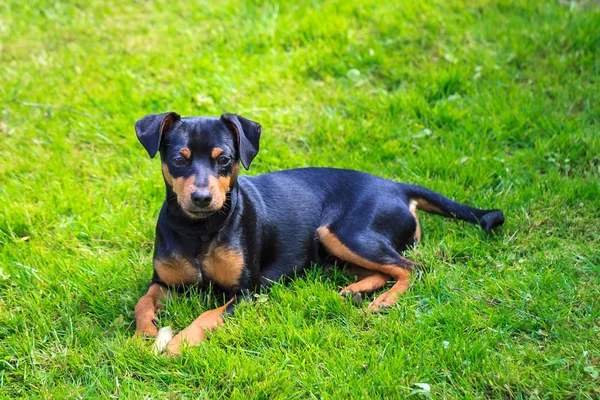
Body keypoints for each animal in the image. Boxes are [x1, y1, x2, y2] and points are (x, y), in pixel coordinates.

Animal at [134, 111, 504, 354]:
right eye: (179, 159)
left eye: (223, 159)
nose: (201, 198)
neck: (199, 229)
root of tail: (397, 187)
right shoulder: (164, 282)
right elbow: (143, 301)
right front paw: (143, 333)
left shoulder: (247, 292)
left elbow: (208, 315)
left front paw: (179, 342)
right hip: (331, 249)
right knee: (385, 270)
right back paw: (355, 292)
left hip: (344, 233)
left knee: (412, 268)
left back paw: (383, 301)